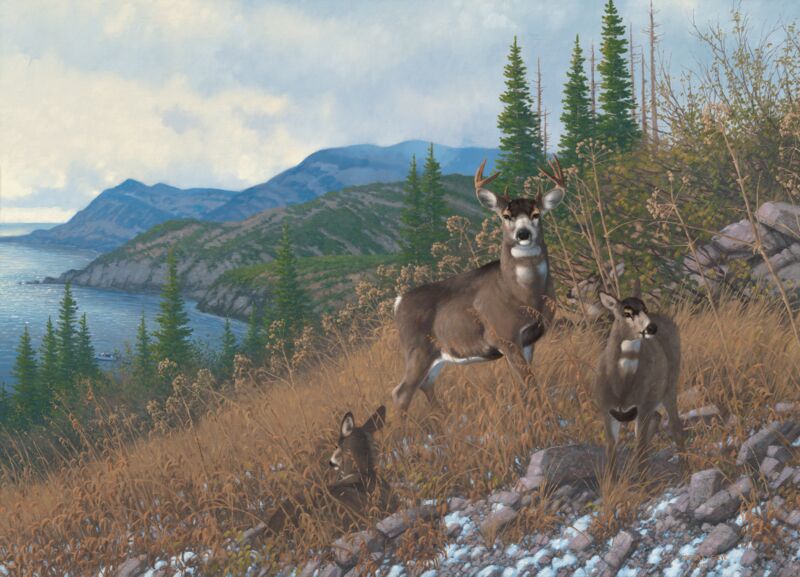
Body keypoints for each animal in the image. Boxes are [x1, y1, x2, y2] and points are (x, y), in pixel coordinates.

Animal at [391, 159, 566, 412]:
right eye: (506, 215)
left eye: (536, 214)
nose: (523, 234)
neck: (523, 295)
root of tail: (398, 302)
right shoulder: (504, 336)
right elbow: (530, 383)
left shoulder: (527, 340)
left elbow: (524, 385)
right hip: (417, 349)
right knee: (401, 393)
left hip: (436, 354)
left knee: (426, 384)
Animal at [593, 290, 685, 473]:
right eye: (627, 313)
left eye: (645, 309)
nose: (651, 328)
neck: (622, 387)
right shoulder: (606, 409)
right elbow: (611, 451)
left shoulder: (643, 406)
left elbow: (641, 448)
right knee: (657, 418)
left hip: (669, 386)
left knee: (675, 426)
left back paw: (687, 468)